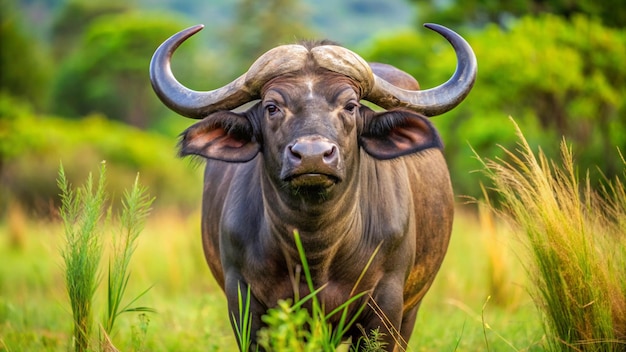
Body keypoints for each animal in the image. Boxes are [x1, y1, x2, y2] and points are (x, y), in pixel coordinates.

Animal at [149, 23, 476, 350]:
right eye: (272, 107)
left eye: (350, 106)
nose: (312, 155)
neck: (315, 246)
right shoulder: (243, 300)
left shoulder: (387, 304)